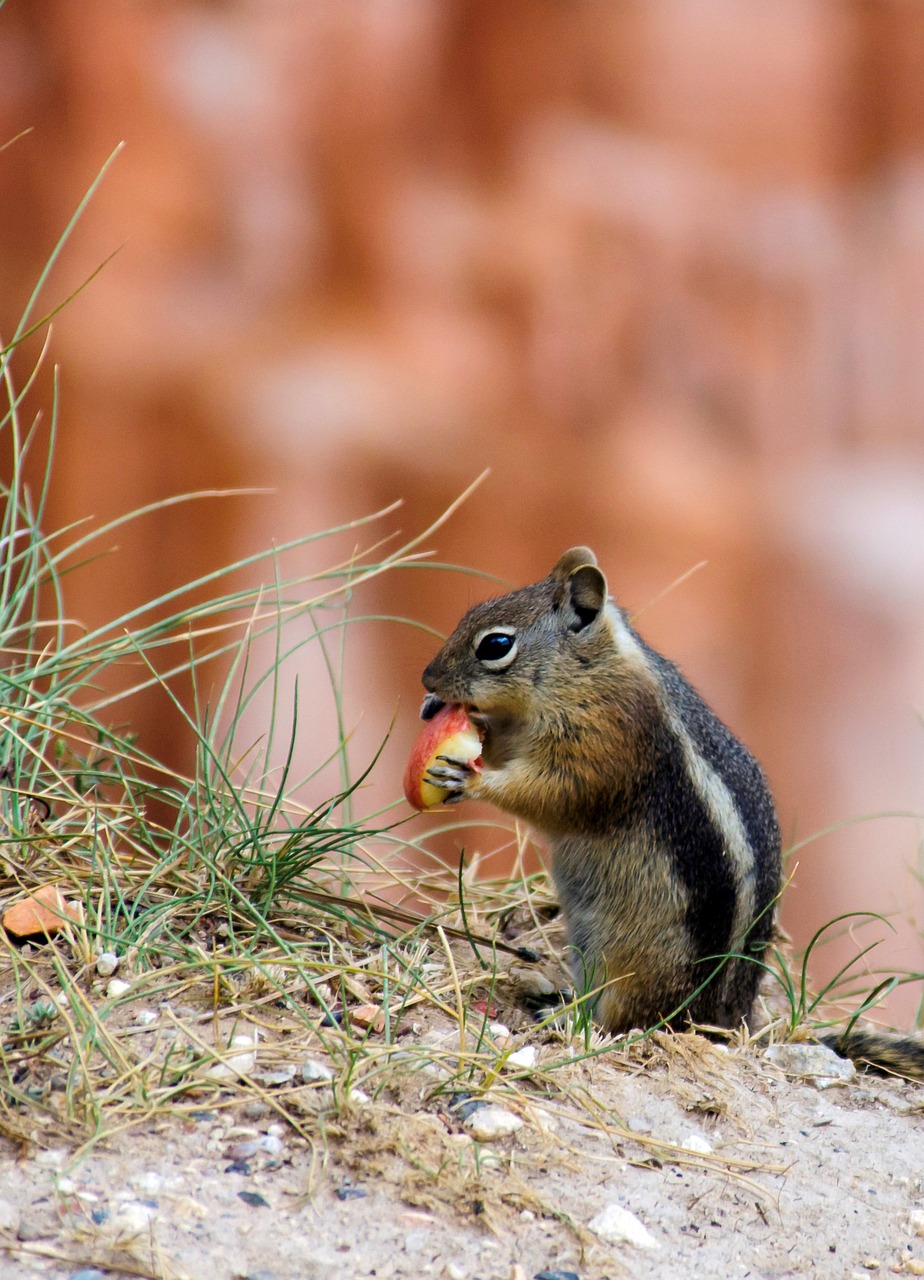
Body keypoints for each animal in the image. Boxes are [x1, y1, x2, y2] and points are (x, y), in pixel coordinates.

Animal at [417, 550, 921, 1080]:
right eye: (471, 614)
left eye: (495, 645)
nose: (428, 679)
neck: (590, 667)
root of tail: (728, 1023)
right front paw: (442, 710)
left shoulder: (609, 737)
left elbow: (556, 794)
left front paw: (468, 778)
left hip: (635, 965)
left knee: (624, 1020)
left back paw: (565, 1018)